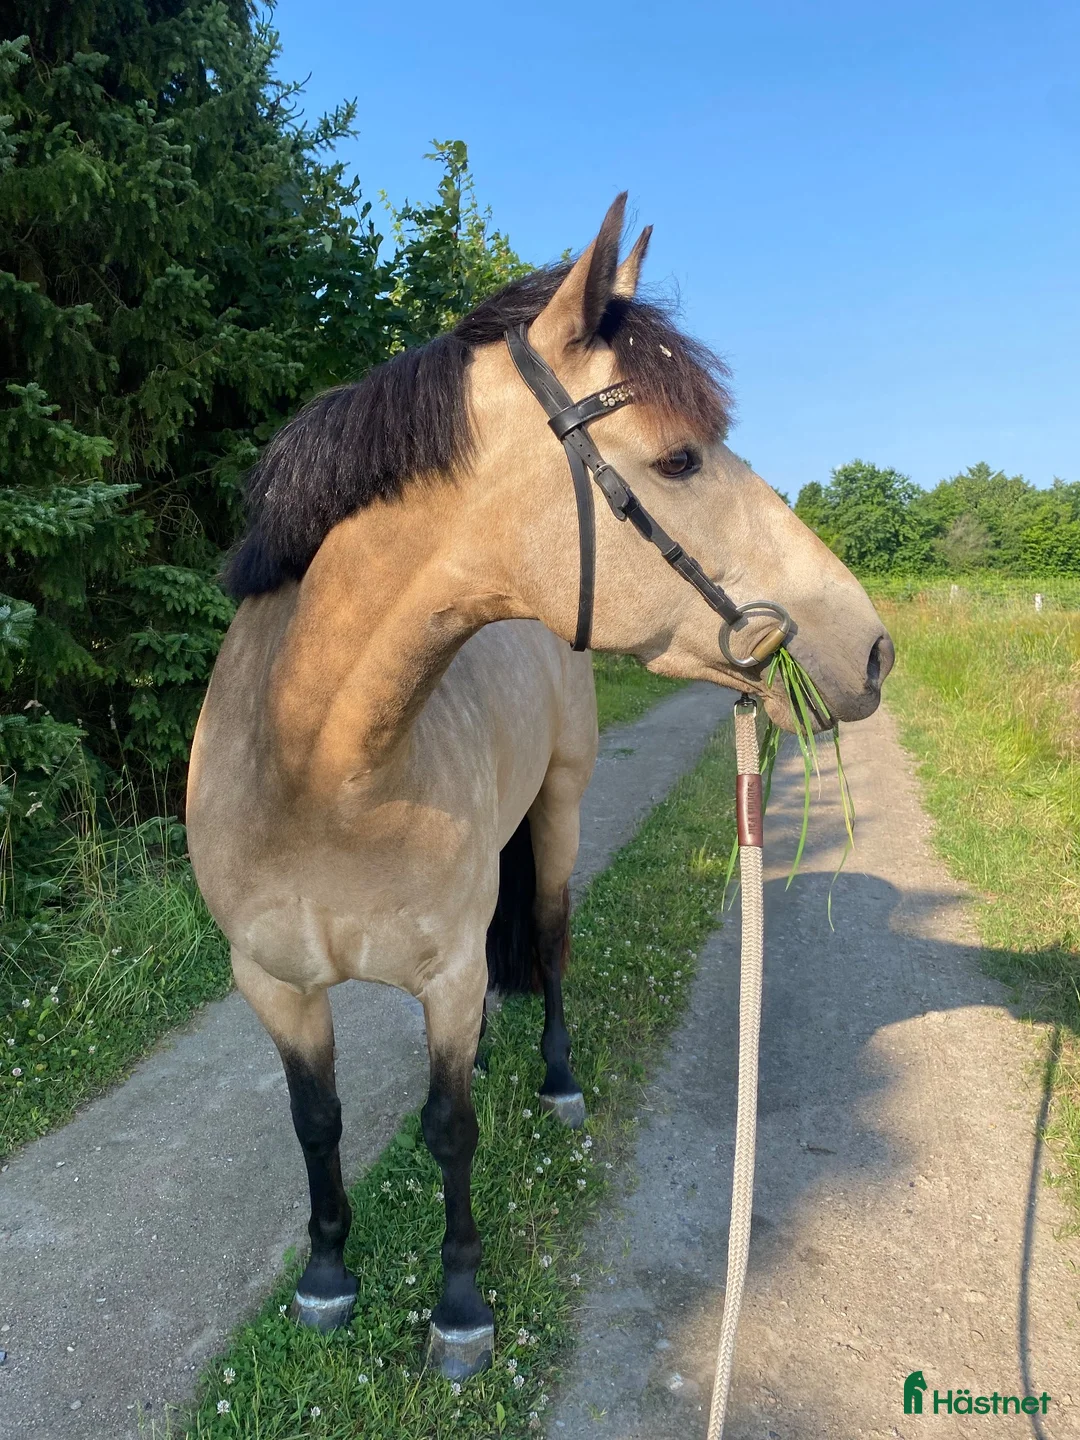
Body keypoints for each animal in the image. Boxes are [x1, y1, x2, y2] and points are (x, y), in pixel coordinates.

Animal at [185, 193, 893, 1379]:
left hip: (556, 813)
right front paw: (327, 1278)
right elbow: (316, 1123)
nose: (874, 648)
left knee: (553, 943)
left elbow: (449, 1129)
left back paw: (557, 1079)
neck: (319, 775)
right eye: (681, 459)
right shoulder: (275, 984)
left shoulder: (445, 977)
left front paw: (459, 1306)